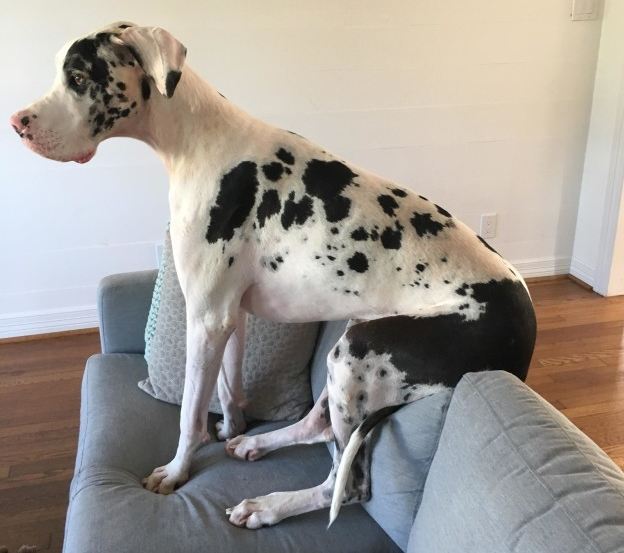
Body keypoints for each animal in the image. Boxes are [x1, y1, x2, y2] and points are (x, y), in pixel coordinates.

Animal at [9, 23, 536, 528]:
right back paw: (256, 445)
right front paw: (232, 428)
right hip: (353, 341)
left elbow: (189, 414)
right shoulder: (230, 316)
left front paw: (177, 471)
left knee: (345, 485)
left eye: (79, 78)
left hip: (358, 351)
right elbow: (228, 387)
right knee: (316, 427)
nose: (17, 124)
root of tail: (526, 330)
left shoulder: (206, 319)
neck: (197, 142)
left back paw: (269, 506)